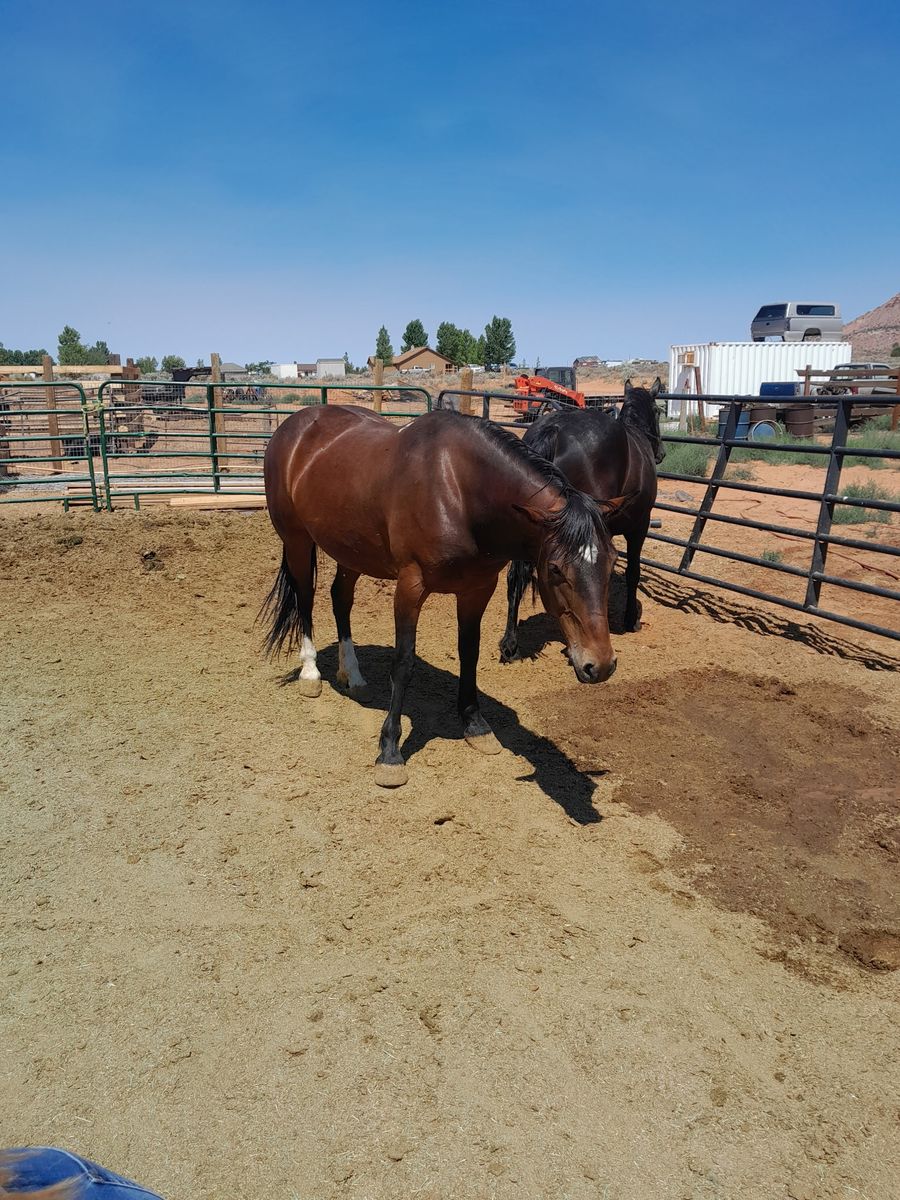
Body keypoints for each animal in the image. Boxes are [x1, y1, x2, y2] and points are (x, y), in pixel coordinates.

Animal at [261, 405, 629, 788]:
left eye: (611, 562)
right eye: (556, 569)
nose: (600, 664)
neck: (458, 491)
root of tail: (293, 426)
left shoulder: (477, 589)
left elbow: (470, 653)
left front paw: (475, 725)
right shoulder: (410, 587)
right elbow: (403, 663)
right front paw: (389, 752)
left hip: (351, 550)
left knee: (340, 598)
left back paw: (352, 674)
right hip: (297, 540)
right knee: (305, 598)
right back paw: (311, 674)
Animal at [499, 378, 665, 661]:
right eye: (657, 411)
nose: (661, 453)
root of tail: (554, 430)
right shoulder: (639, 526)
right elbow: (633, 572)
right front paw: (631, 619)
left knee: (515, 577)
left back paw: (511, 644)